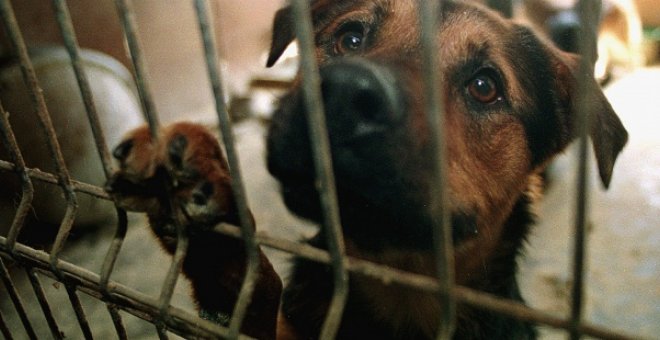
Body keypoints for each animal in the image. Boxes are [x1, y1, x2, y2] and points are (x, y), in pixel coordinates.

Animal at [105, 1, 628, 338]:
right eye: (349, 38)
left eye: (485, 87)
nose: (341, 95)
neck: (397, 285)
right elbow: (254, 289)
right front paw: (207, 204)